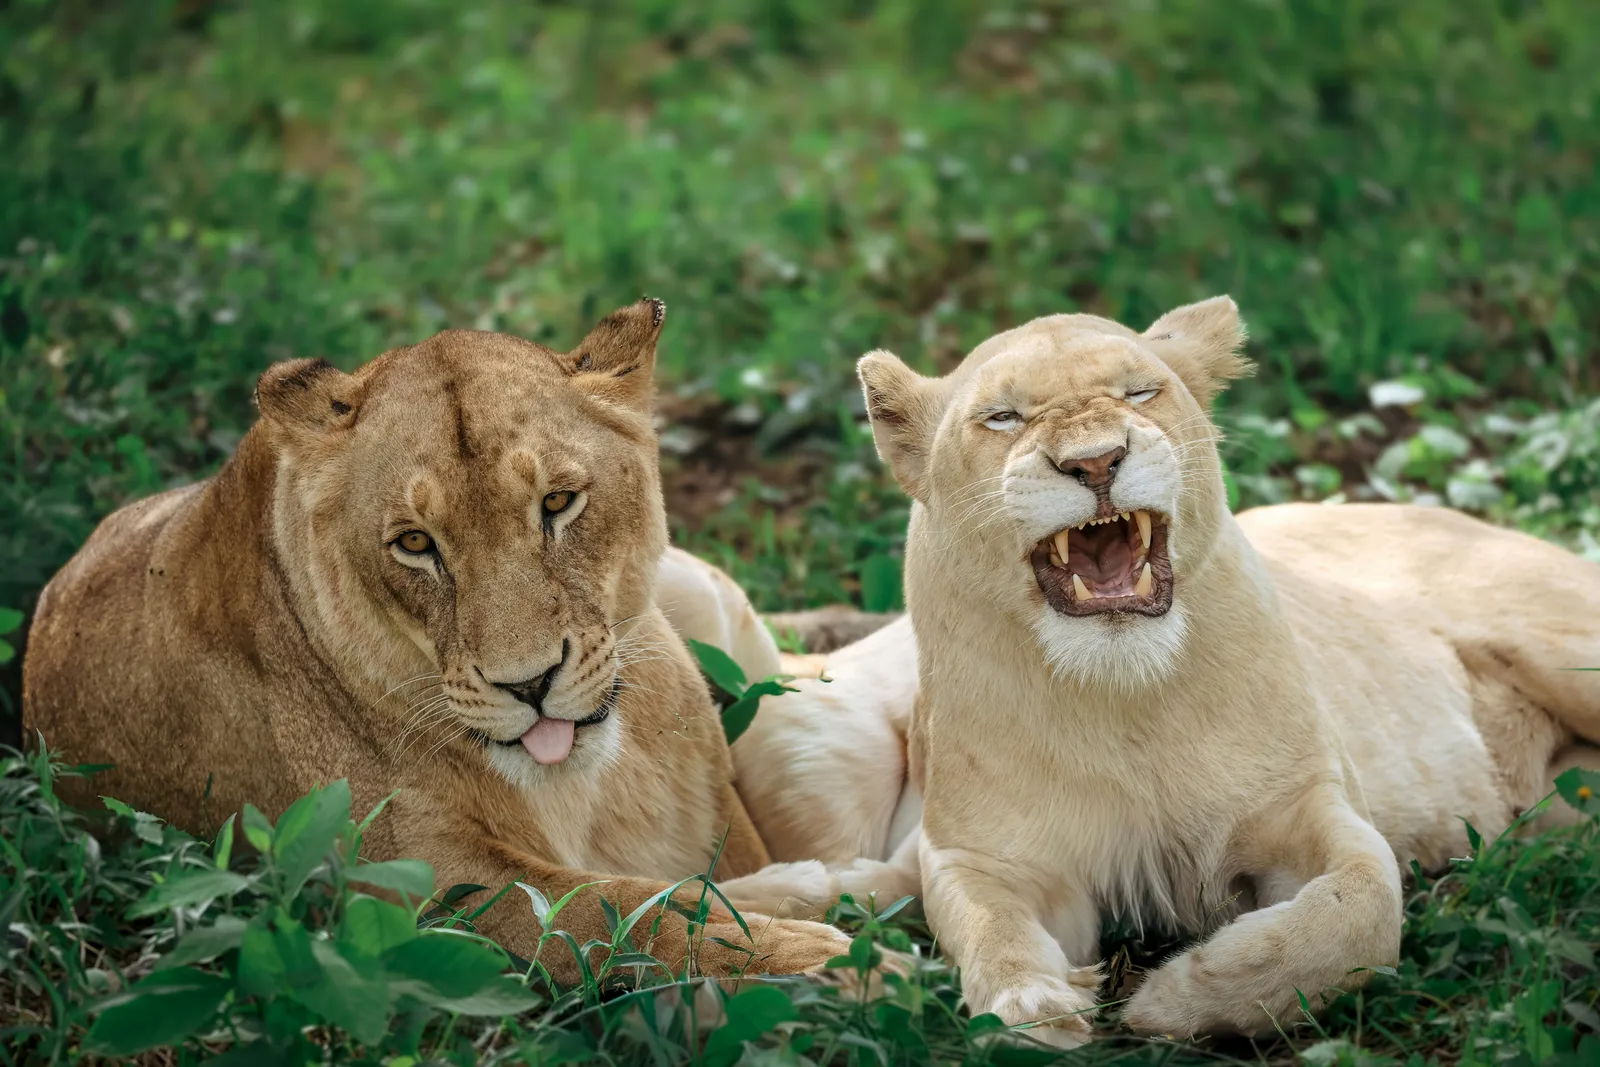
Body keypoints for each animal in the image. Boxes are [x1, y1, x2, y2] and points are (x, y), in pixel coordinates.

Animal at [22, 299, 886, 983]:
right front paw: (831, 964)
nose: (528, 684)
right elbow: (620, 911)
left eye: (559, 502)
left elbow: (669, 890)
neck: (593, 781)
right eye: (414, 543)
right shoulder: (424, 886)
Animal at [753, 296, 1600, 1043]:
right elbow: (987, 926)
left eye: (1139, 391)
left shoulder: (1310, 803)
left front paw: (1180, 996)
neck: (1128, 698)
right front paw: (1034, 1005)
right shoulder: (988, 854)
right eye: (1003, 417)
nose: (1095, 460)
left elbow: (1358, 905)